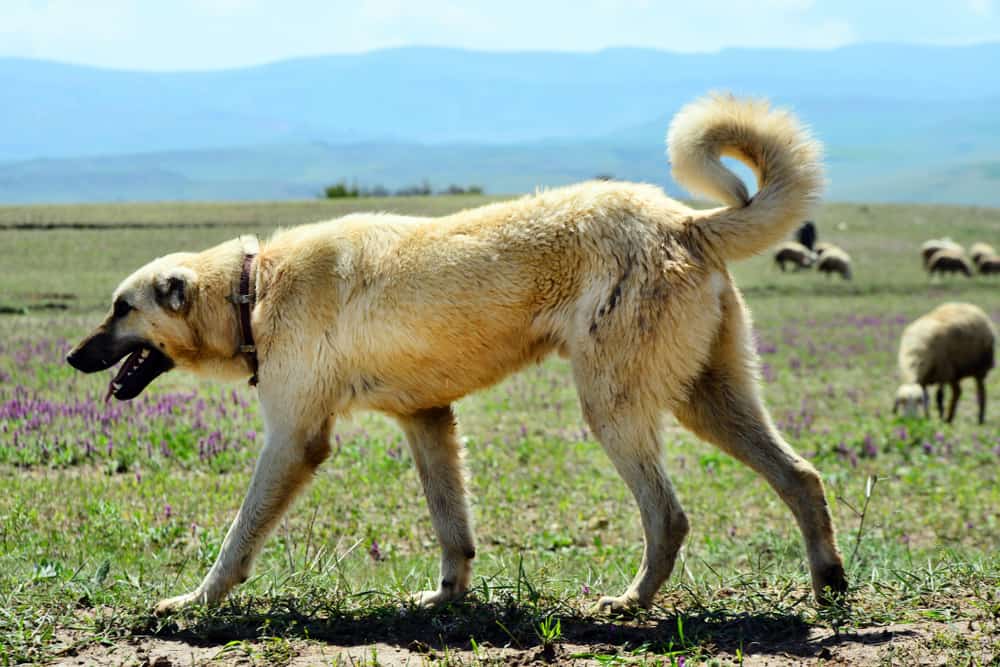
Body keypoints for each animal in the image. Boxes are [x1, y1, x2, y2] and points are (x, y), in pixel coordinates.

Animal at [64, 94, 844, 616]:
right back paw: (829, 585)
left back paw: (629, 603)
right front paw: (444, 600)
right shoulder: (428, 419)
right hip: (708, 396)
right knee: (801, 475)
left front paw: (194, 601)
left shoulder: (295, 439)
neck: (251, 289)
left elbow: (238, 536)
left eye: (121, 307)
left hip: (616, 405)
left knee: (669, 516)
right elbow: (453, 529)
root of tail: (685, 220)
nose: (72, 357)